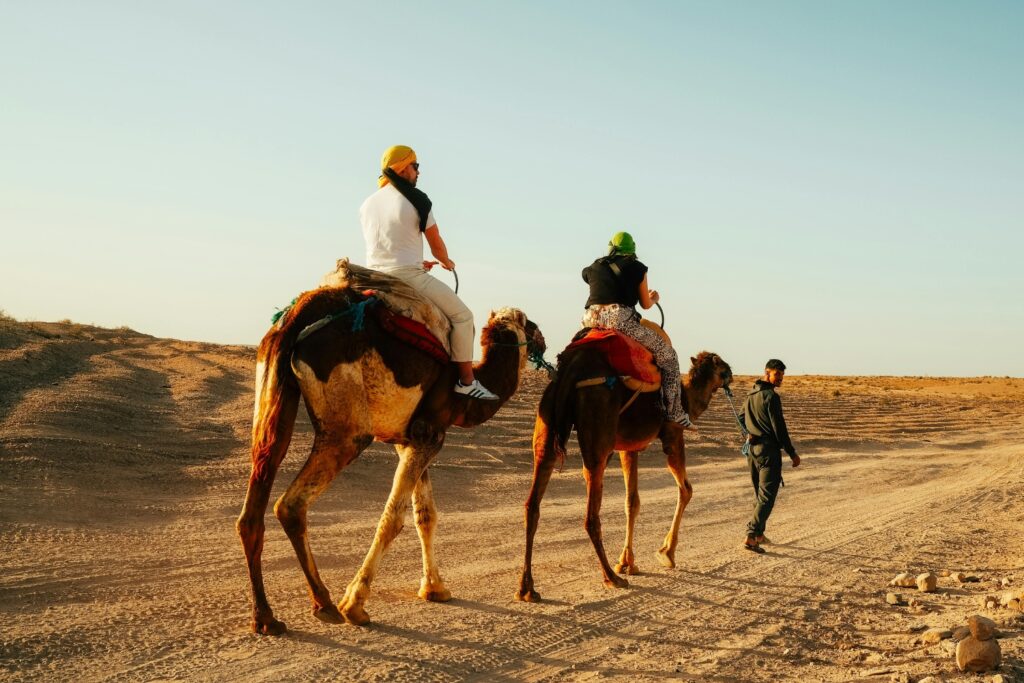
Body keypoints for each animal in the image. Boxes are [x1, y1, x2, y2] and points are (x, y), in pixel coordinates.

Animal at [236, 285, 546, 635]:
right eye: (527, 322)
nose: (543, 338)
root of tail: (293, 322)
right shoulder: (428, 434)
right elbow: (393, 519)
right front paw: (355, 605)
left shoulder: (409, 438)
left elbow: (425, 515)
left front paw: (434, 588)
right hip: (348, 431)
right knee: (290, 504)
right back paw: (326, 604)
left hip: (273, 398)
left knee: (255, 501)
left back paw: (267, 617)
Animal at [516, 345, 732, 602]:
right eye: (722, 366)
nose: (730, 373)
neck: (688, 398)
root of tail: (572, 368)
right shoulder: (672, 433)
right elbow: (686, 490)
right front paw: (666, 554)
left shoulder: (628, 448)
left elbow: (632, 502)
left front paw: (628, 562)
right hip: (598, 427)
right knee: (590, 515)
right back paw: (611, 577)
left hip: (548, 421)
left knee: (533, 502)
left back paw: (527, 588)